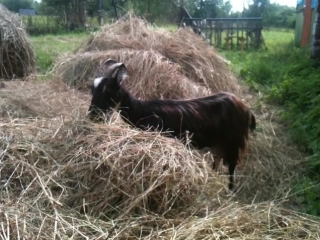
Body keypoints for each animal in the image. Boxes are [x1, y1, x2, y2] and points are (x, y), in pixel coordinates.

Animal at [88, 60, 258, 191]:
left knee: (231, 168)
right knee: (216, 162)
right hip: (217, 144)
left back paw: (229, 192)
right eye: (92, 89)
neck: (141, 111)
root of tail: (246, 109)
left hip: (234, 142)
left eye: (108, 90)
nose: (92, 115)